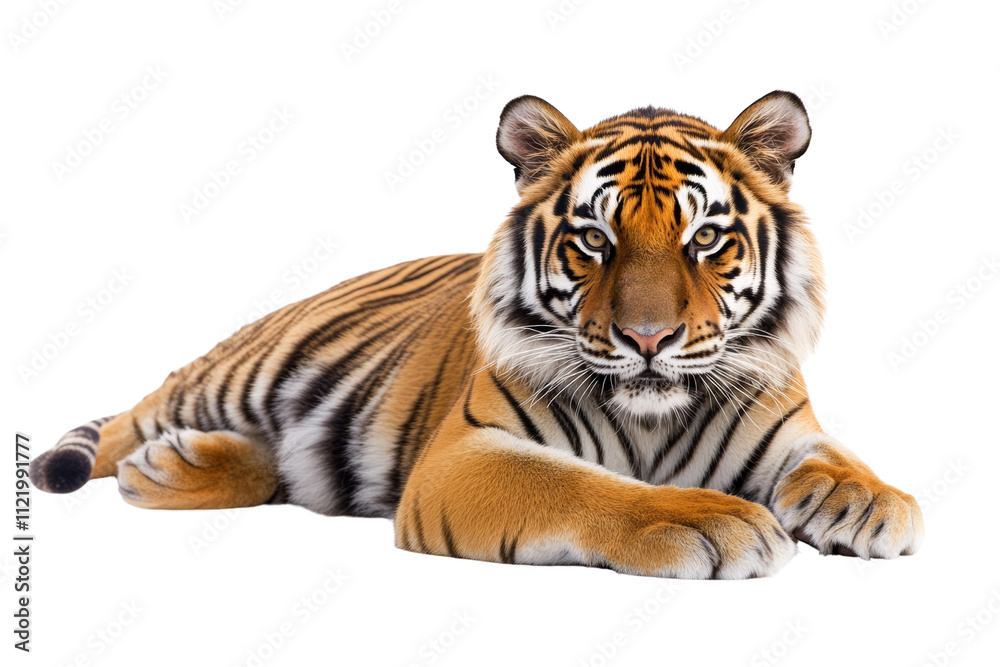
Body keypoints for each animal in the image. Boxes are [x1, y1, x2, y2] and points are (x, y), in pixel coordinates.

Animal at [30, 90, 923, 579]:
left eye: (704, 238)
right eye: (594, 239)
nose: (648, 338)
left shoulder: (784, 424)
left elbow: (837, 459)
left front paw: (873, 502)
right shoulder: (464, 454)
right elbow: (584, 486)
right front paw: (710, 520)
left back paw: (178, 465)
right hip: (236, 370)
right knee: (125, 422)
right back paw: (145, 465)